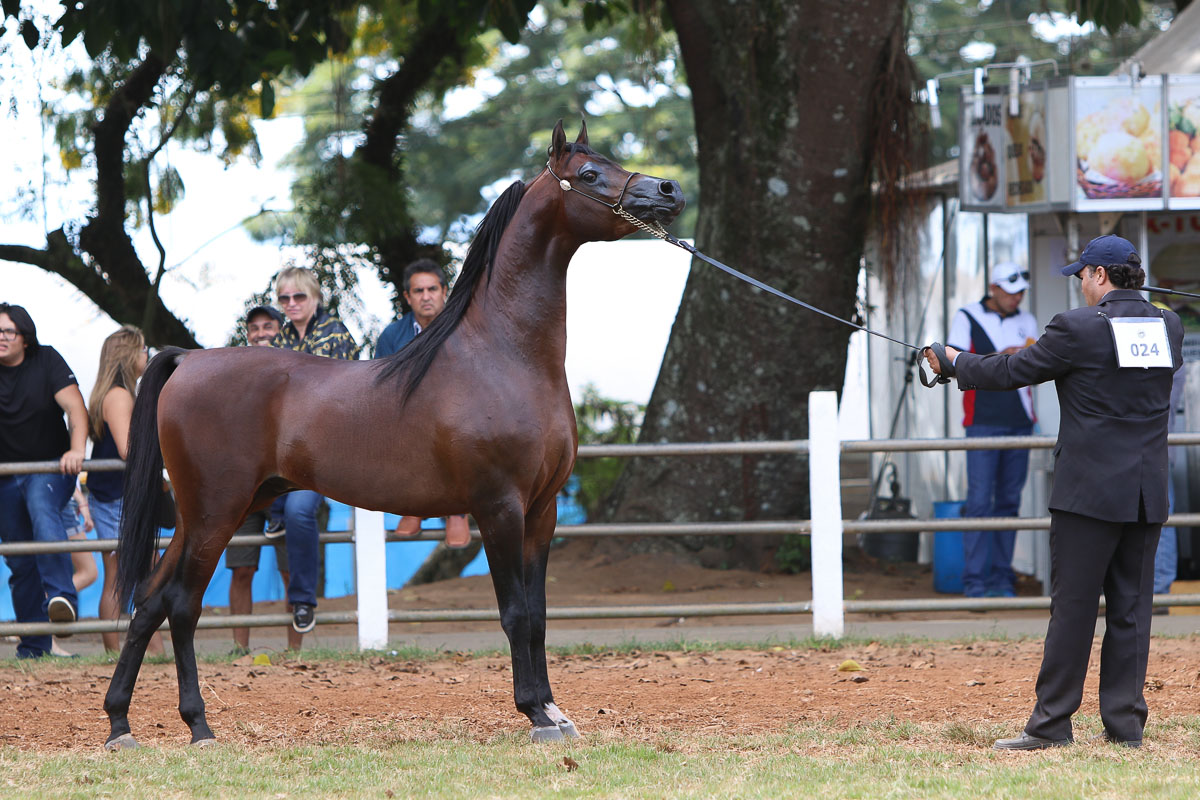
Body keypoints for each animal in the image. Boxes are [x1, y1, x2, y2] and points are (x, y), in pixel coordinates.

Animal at [102, 119, 685, 750]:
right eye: (589, 174)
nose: (670, 190)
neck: (505, 356)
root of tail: (187, 360)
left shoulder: (543, 512)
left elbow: (540, 614)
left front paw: (555, 712)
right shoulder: (499, 507)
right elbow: (515, 613)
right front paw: (534, 713)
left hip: (203, 513)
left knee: (149, 600)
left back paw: (120, 725)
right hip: (217, 512)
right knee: (182, 605)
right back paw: (199, 726)